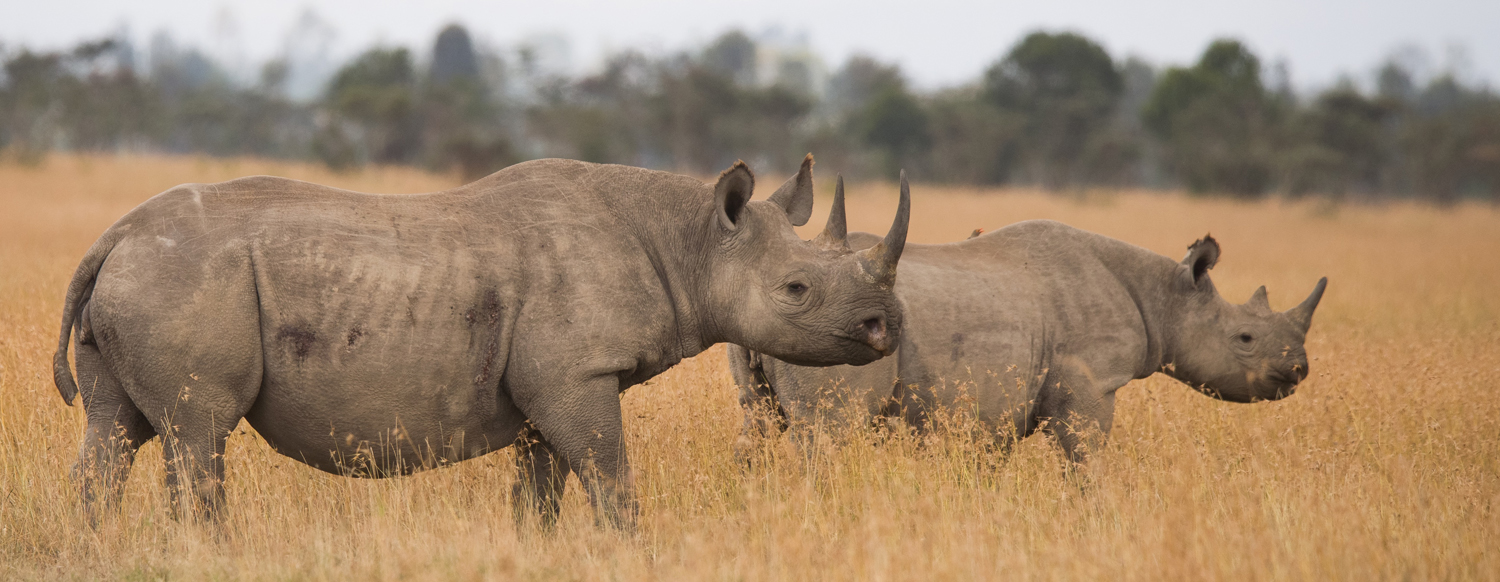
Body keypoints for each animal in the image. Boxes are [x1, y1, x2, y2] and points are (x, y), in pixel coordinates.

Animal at [53, 155, 912, 530]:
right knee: (198, 434)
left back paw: (97, 546)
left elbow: (542, 490)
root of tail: (113, 234)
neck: (691, 241)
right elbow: (611, 479)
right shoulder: (578, 375)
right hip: (184, 279)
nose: (887, 327)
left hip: (145, 277)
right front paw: (628, 548)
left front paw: (542, 549)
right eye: (797, 291)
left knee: (115, 432)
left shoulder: (550, 385)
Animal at [730, 177, 1326, 464]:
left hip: (763, 334)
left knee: (756, 427)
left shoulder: (991, 408)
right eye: (1245, 338)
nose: (1298, 371)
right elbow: (1086, 461)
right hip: (828, 336)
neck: (1164, 296)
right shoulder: (1092, 382)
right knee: (828, 435)